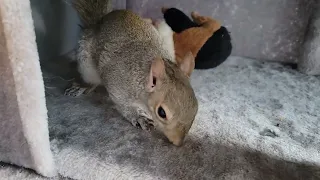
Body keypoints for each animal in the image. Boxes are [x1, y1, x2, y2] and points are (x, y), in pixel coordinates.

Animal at [65, 0, 198, 146]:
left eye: (195, 108)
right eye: (162, 113)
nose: (178, 142)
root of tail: (99, 21)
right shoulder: (117, 84)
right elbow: (123, 105)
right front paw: (139, 117)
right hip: (86, 63)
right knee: (92, 80)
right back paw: (83, 86)